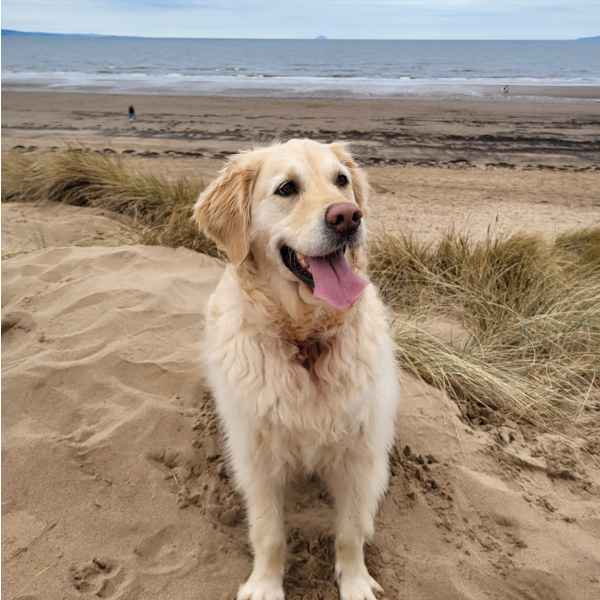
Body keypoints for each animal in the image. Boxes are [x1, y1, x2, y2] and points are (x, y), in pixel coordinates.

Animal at [193, 139, 398, 600]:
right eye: (286, 188)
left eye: (341, 180)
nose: (348, 217)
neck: (306, 340)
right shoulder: (258, 456)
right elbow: (269, 533)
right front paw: (265, 585)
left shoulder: (358, 452)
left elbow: (350, 531)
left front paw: (355, 581)